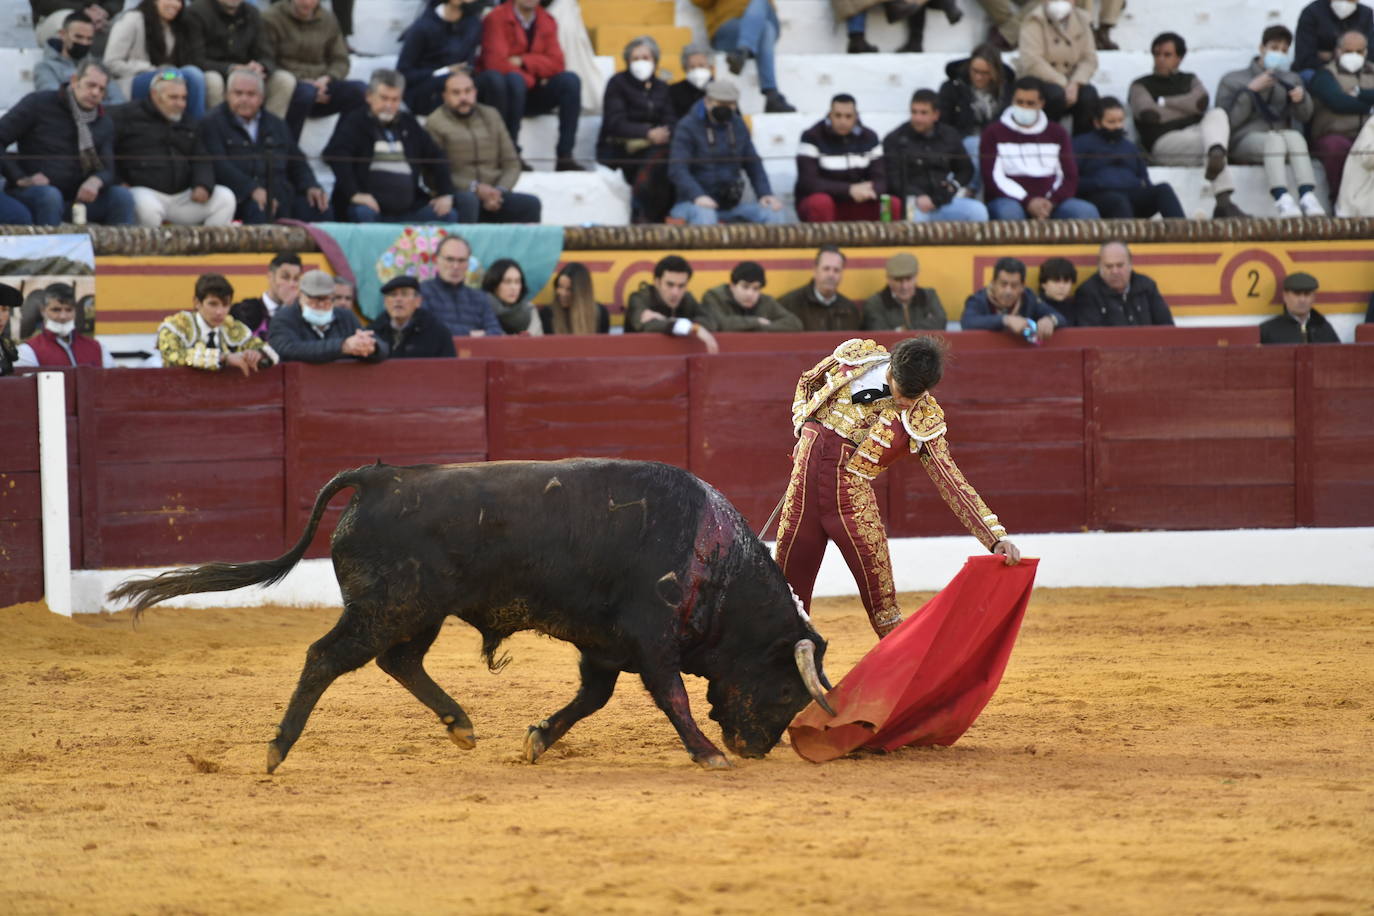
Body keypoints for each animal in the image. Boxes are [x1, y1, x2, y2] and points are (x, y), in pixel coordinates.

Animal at [107, 461, 829, 769]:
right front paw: (707, 755)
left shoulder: (605, 646)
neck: (716, 561)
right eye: (786, 691)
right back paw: (277, 749)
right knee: (327, 658)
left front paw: (537, 738)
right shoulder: (650, 639)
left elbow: (590, 699)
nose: (755, 748)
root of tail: (381, 478)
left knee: (398, 661)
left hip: (416, 612)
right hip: (388, 605)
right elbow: (672, 696)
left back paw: (460, 724)